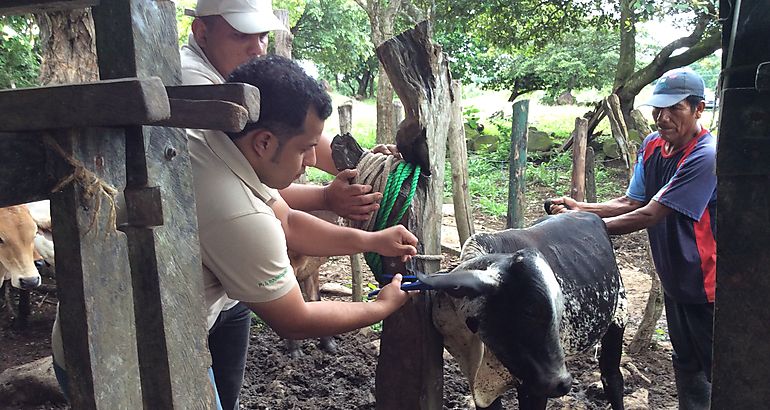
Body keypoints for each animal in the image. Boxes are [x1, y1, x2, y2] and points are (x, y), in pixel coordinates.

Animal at [416, 211, 628, 410]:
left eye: (560, 310)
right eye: (529, 310)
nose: (563, 383)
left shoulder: (534, 388)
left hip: (618, 319)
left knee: (612, 378)